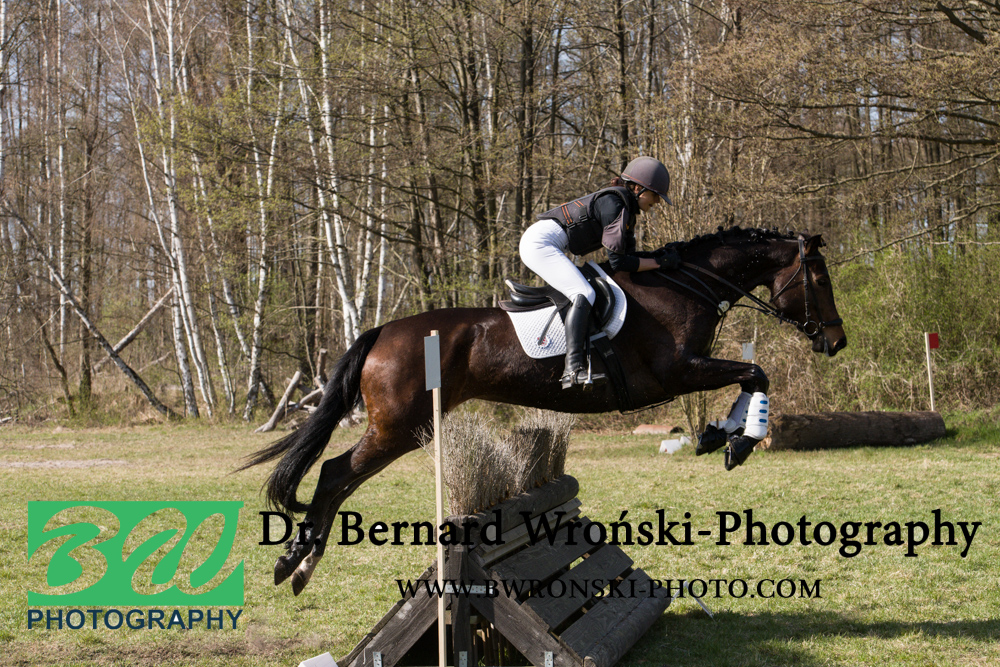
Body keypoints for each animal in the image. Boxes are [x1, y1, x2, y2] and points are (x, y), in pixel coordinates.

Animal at [241, 226, 847, 595]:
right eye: (819, 279)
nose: (836, 342)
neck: (684, 285)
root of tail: (383, 330)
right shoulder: (677, 372)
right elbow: (755, 372)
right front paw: (736, 440)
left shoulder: (687, 372)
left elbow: (752, 374)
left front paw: (720, 435)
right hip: (400, 427)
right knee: (333, 473)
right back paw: (293, 562)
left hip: (403, 427)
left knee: (338, 480)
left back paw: (301, 564)